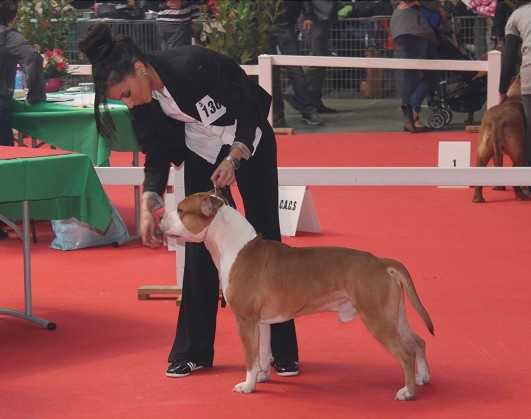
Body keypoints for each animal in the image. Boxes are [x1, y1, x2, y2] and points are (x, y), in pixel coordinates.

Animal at [160, 190, 434, 401]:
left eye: (181, 210)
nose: (161, 215)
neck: (235, 247)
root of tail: (380, 262)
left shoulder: (245, 320)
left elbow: (250, 356)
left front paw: (248, 385)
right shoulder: (260, 322)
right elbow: (262, 352)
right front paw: (262, 376)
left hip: (377, 318)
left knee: (405, 353)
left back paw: (408, 391)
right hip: (394, 316)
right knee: (418, 342)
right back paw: (422, 377)